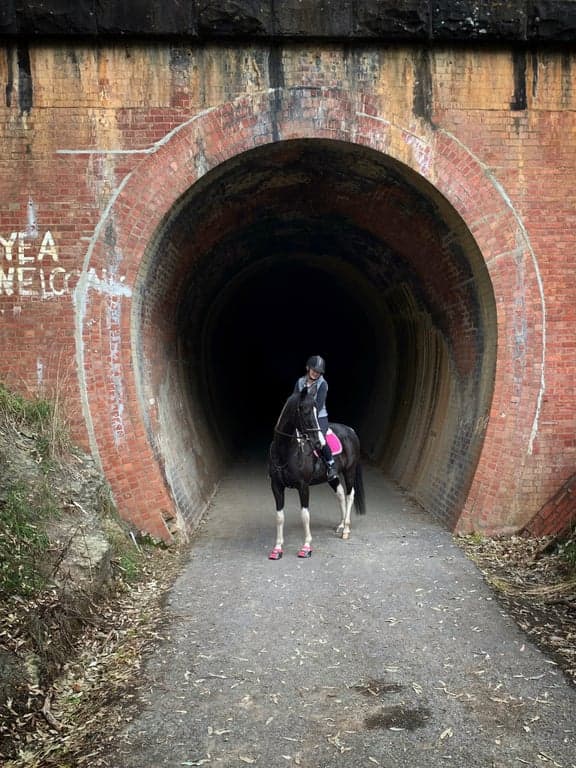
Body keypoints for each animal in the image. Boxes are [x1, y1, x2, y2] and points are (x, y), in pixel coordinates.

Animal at [267, 387, 366, 559]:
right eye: (305, 411)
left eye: (315, 410)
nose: (319, 443)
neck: (285, 451)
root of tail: (350, 430)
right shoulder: (276, 486)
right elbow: (279, 517)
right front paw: (277, 548)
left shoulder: (303, 486)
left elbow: (305, 515)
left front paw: (306, 547)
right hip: (333, 477)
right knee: (341, 494)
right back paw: (341, 525)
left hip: (350, 471)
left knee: (350, 495)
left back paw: (346, 529)